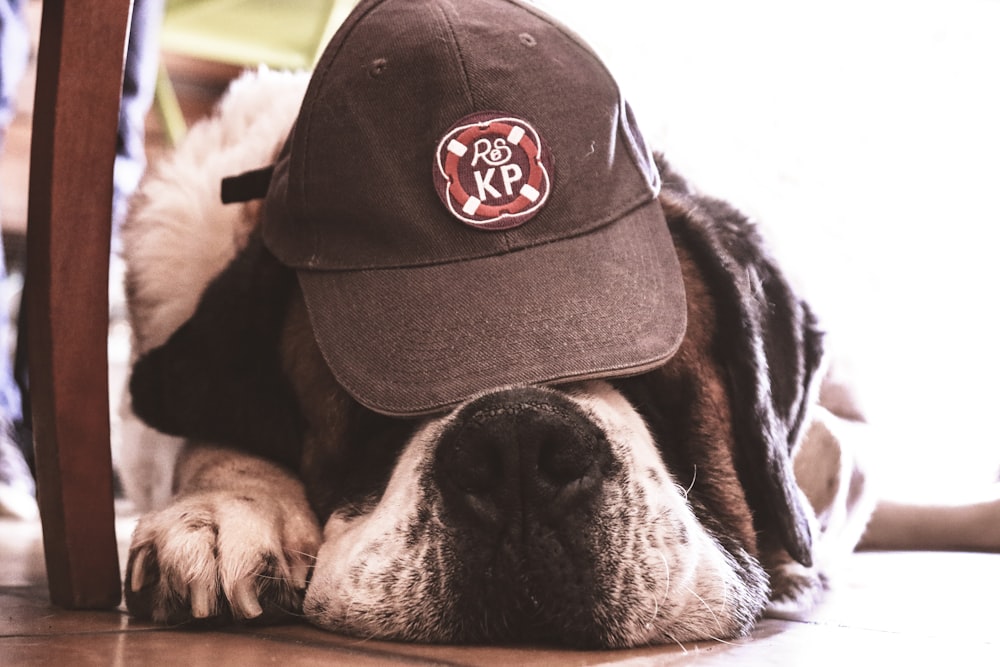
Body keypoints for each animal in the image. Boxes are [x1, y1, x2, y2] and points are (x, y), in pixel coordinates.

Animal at [119, 0, 1000, 652]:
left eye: (652, 381)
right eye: (375, 414)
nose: (516, 446)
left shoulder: (838, 447)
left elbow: (823, 472)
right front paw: (228, 508)